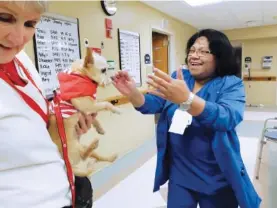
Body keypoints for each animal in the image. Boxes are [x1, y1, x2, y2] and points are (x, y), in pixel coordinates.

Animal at [48, 48, 118, 176]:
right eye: (104, 70)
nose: (113, 78)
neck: (81, 73)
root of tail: (70, 168)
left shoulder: (89, 106)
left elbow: (96, 115)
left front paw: (100, 128)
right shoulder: (86, 105)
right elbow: (106, 104)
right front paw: (116, 109)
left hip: (82, 147)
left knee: (96, 157)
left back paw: (110, 157)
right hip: (75, 148)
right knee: (84, 156)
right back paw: (94, 144)